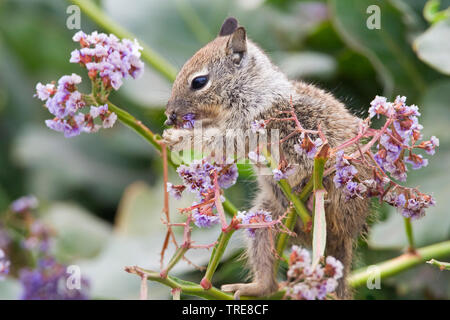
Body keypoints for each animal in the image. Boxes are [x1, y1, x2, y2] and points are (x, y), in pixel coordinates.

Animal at [162, 16, 370, 298]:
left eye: (199, 82)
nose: (170, 114)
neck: (253, 89)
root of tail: (345, 237)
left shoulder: (247, 125)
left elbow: (216, 139)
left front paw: (176, 137)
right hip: (263, 219)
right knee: (269, 278)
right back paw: (253, 287)